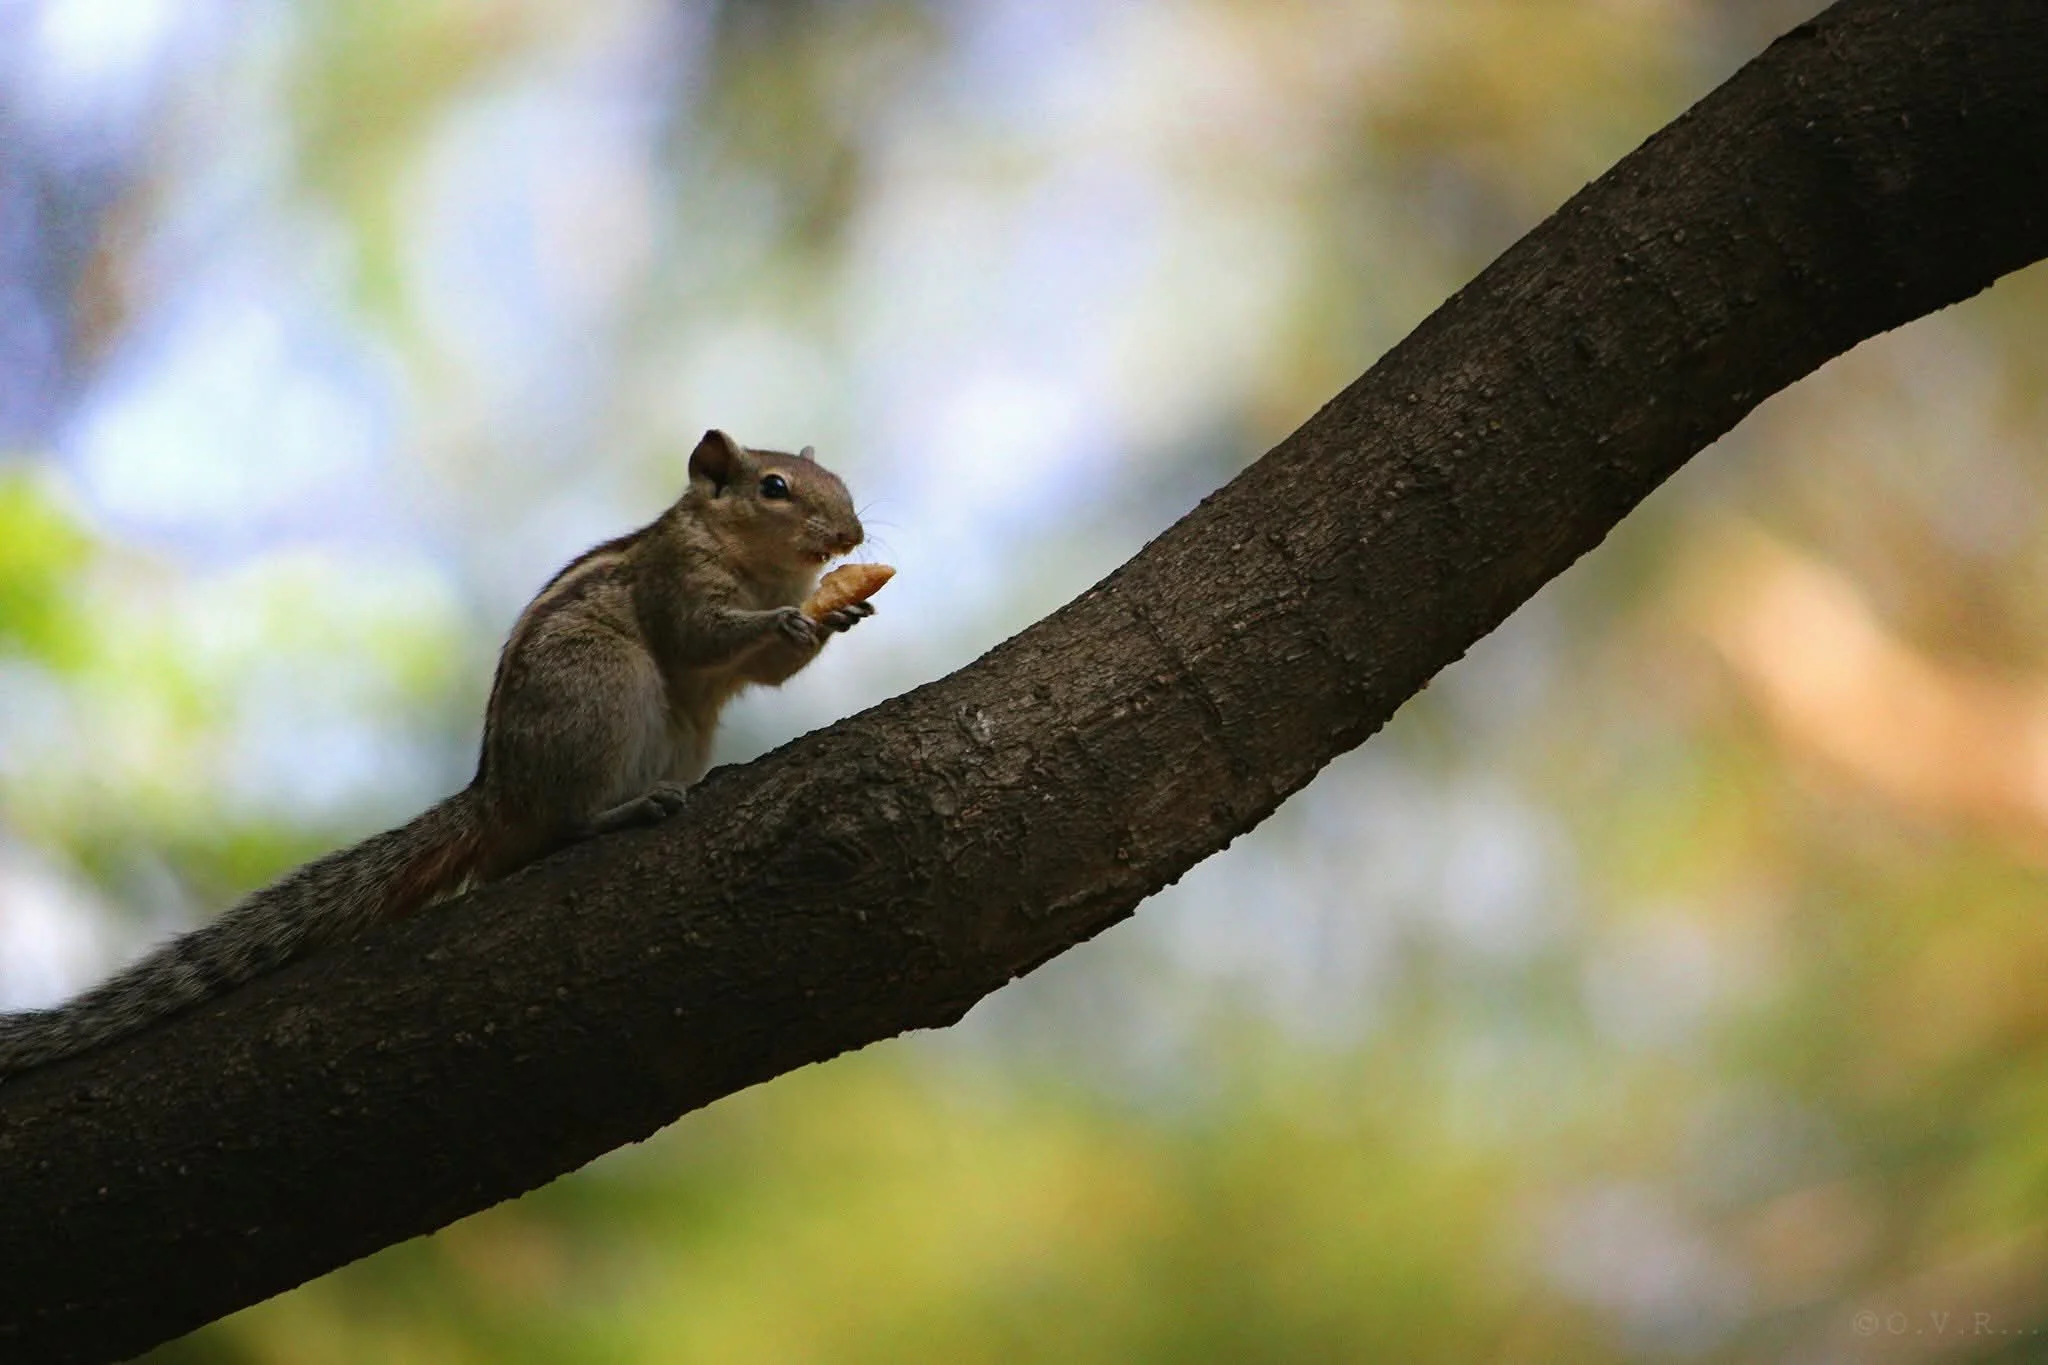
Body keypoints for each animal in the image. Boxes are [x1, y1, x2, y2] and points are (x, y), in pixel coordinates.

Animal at [0, 429, 873, 1077]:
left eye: (835, 478)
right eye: (773, 487)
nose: (854, 535)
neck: (760, 569)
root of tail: (497, 794)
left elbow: (769, 669)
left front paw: (837, 614)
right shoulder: (675, 583)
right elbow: (704, 636)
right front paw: (782, 622)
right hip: (601, 691)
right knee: (568, 821)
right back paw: (629, 808)